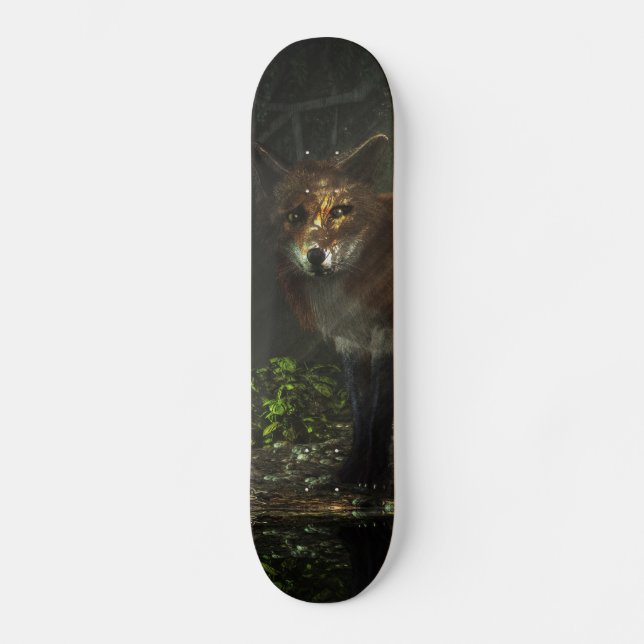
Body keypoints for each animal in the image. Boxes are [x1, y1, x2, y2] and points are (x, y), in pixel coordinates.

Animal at [253, 134, 393, 487]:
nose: (317, 255)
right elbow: (360, 411)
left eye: (340, 211)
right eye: (294, 216)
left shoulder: (385, 334)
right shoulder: (350, 340)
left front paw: (375, 476)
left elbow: (379, 410)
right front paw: (352, 472)